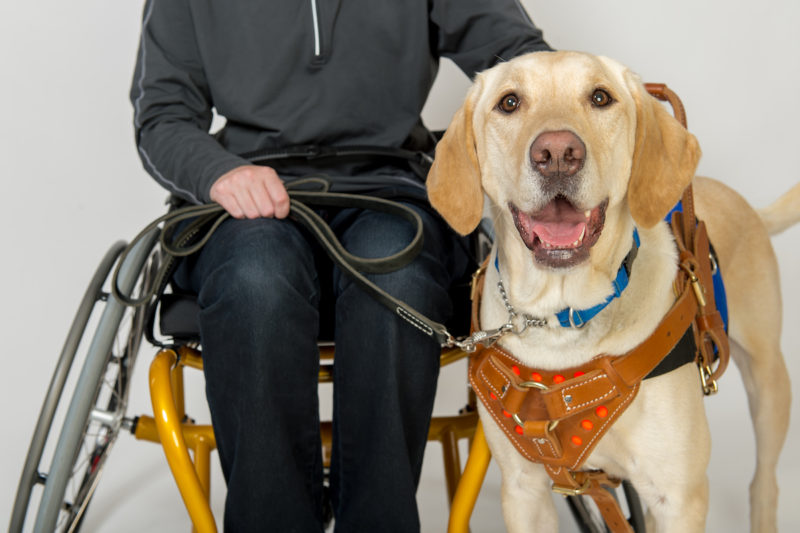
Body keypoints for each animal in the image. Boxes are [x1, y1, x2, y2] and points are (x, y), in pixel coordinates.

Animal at [428, 50, 796, 532]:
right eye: (509, 102)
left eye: (600, 97)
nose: (558, 153)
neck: (560, 320)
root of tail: (744, 203)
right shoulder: (524, 490)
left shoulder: (678, 496)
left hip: (768, 379)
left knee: (764, 481)